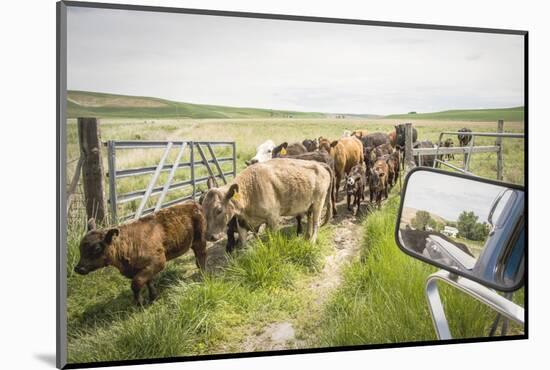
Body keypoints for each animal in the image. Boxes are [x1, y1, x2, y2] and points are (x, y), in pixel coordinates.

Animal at [74, 204, 208, 304]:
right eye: (80, 248)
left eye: (96, 248)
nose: (78, 268)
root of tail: (193, 203)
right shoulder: (144, 268)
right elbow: (148, 282)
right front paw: (153, 297)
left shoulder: (158, 262)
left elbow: (136, 283)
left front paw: (139, 303)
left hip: (200, 240)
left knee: (201, 255)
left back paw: (202, 274)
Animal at [202, 158, 332, 244]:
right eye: (203, 208)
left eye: (219, 210)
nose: (209, 237)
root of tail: (320, 165)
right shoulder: (242, 222)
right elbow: (245, 243)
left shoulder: (273, 218)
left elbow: (273, 239)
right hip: (309, 205)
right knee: (310, 219)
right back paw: (306, 237)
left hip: (319, 203)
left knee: (316, 223)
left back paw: (312, 241)